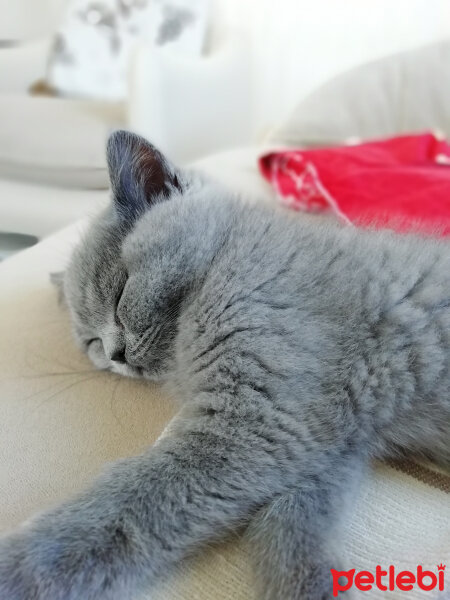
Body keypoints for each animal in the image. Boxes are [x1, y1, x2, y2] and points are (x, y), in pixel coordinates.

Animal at [0, 131, 450, 600]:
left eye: (121, 293)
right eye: (91, 342)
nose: (115, 355)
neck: (226, 256)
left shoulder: (258, 422)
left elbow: (131, 505)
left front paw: (16, 571)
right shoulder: (327, 436)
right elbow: (292, 522)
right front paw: (306, 585)